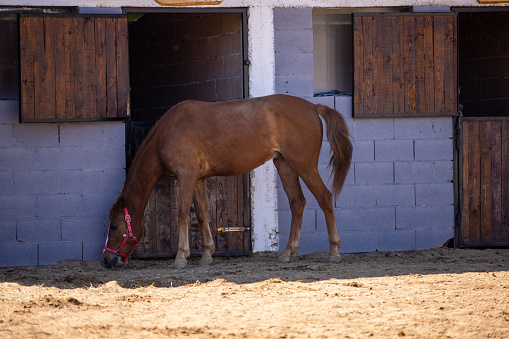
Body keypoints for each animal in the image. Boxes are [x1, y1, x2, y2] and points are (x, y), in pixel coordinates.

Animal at [102, 94, 350, 270]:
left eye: (114, 226)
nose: (106, 259)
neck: (168, 132)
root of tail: (313, 107)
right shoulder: (198, 180)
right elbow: (202, 215)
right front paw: (207, 254)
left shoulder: (186, 177)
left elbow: (182, 214)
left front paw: (181, 256)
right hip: (286, 165)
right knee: (297, 203)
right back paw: (288, 253)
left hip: (304, 166)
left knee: (325, 198)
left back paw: (334, 252)